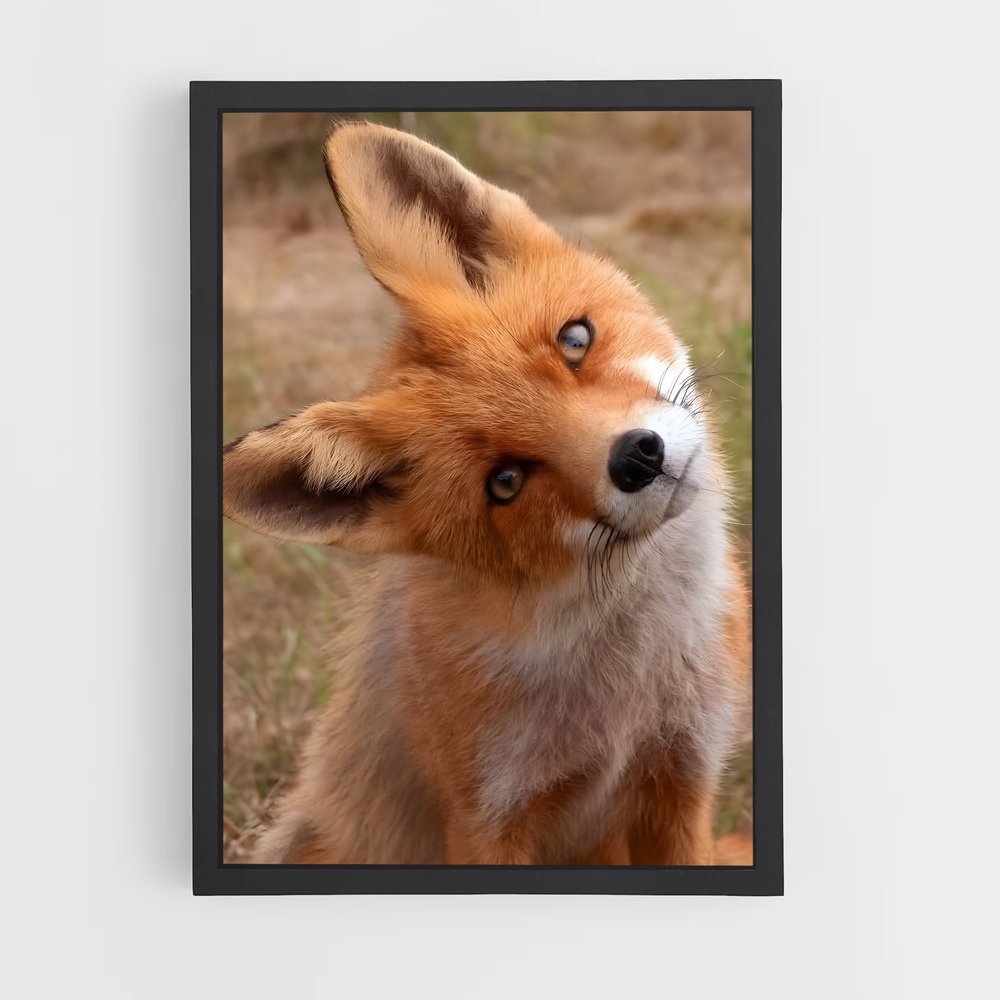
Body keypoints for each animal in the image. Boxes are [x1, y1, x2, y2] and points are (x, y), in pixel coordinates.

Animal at [223, 120, 752, 866]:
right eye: (505, 483)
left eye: (575, 340)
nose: (638, 456)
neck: (623, 700)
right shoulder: (488, 817)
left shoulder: (680, 779)